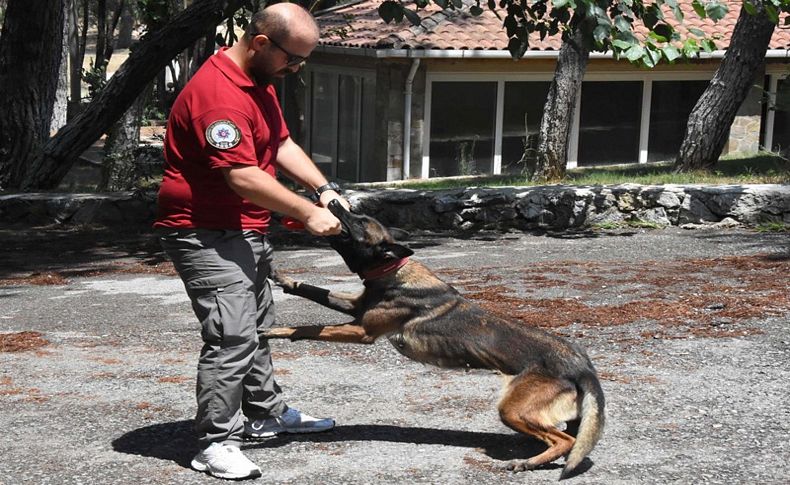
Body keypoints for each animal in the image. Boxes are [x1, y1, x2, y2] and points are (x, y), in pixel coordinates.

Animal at [266, 199, 608, 478]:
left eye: (360, 222)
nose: (333, 200)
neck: (393, 272)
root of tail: (582, 366)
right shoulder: (355, 306)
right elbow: (315, 291)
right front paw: (284, 279)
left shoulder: (362, 331)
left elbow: (310, 327)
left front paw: (275, 331)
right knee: (570, 437)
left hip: (512, 409)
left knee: (564, 440)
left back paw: (527, 463)